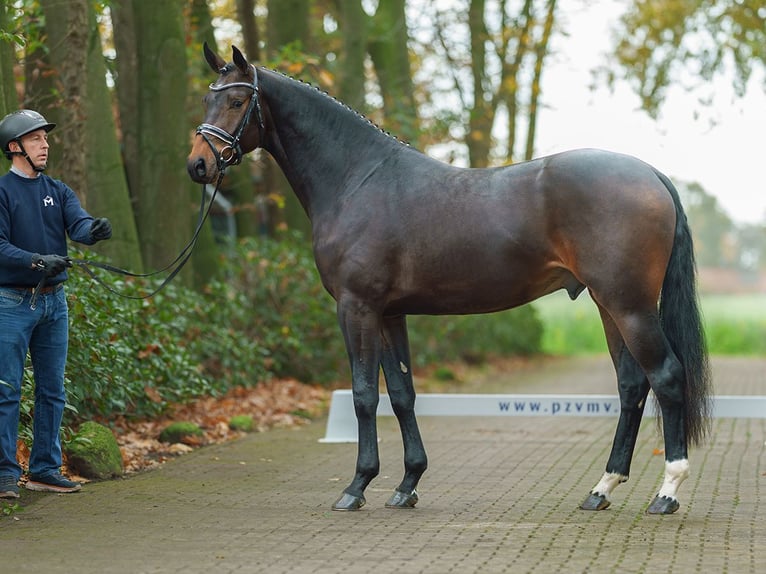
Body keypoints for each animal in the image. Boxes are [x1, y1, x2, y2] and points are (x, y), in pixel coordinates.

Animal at [186, 42, 712, 516]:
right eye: (207, 99)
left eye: (237, 101)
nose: (199, 165)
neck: (358, 179)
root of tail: (651, 175)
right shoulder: (389, 314)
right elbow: (401, 395)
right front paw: (407, 485)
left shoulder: (356, 307)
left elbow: (363, 395)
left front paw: (357, 487)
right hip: (609, 305)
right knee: (631, 385)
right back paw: (601, 489)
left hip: (630, 306)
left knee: (665, 377)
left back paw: (667, 493)